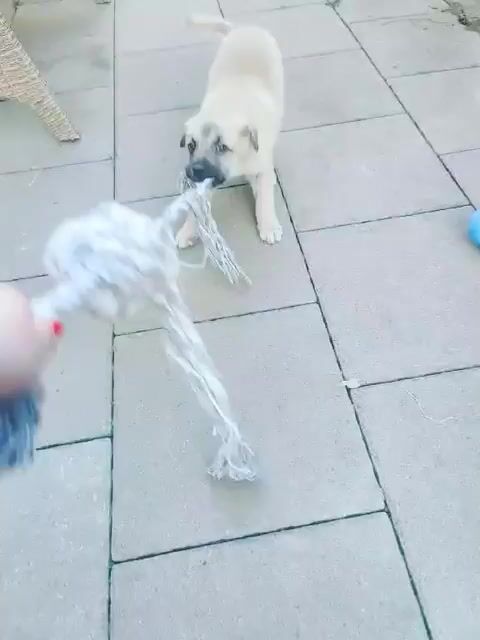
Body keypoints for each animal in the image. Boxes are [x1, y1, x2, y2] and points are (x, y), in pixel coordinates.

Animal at [177, 15, 284, 246]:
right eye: (191, 145)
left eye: (222, 147)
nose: (195, 170)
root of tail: (243, 29)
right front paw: (188, 230)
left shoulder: (261, 164)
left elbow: (265, 198)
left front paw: (269, 226)